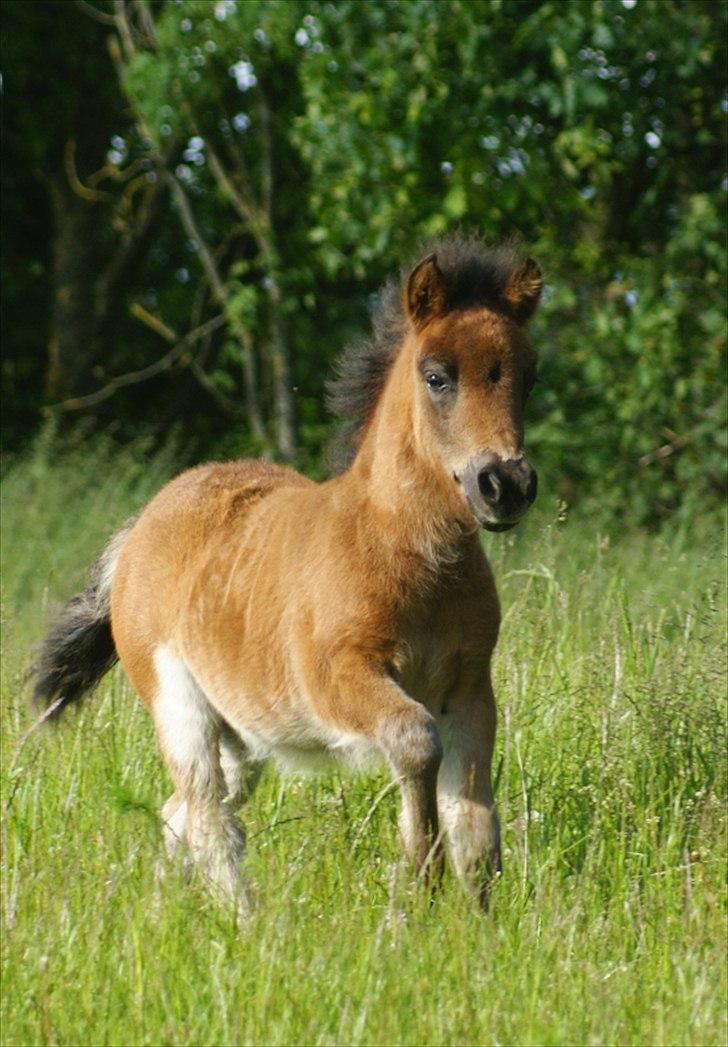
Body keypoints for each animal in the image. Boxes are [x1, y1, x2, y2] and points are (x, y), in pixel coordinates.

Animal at [32, 237, 540, 908]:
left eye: (528, 378)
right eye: (437, 376)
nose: (505, 485)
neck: (412, 558)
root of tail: (143, 521)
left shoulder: (470, 691)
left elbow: (477, 823)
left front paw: (476, 920)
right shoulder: (337, 677)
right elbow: (415, 743)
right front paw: (416, 887)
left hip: (243, 736)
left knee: (182, 814)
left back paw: (167, 909)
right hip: (179, 707)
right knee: (207, 816)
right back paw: (244, 917)